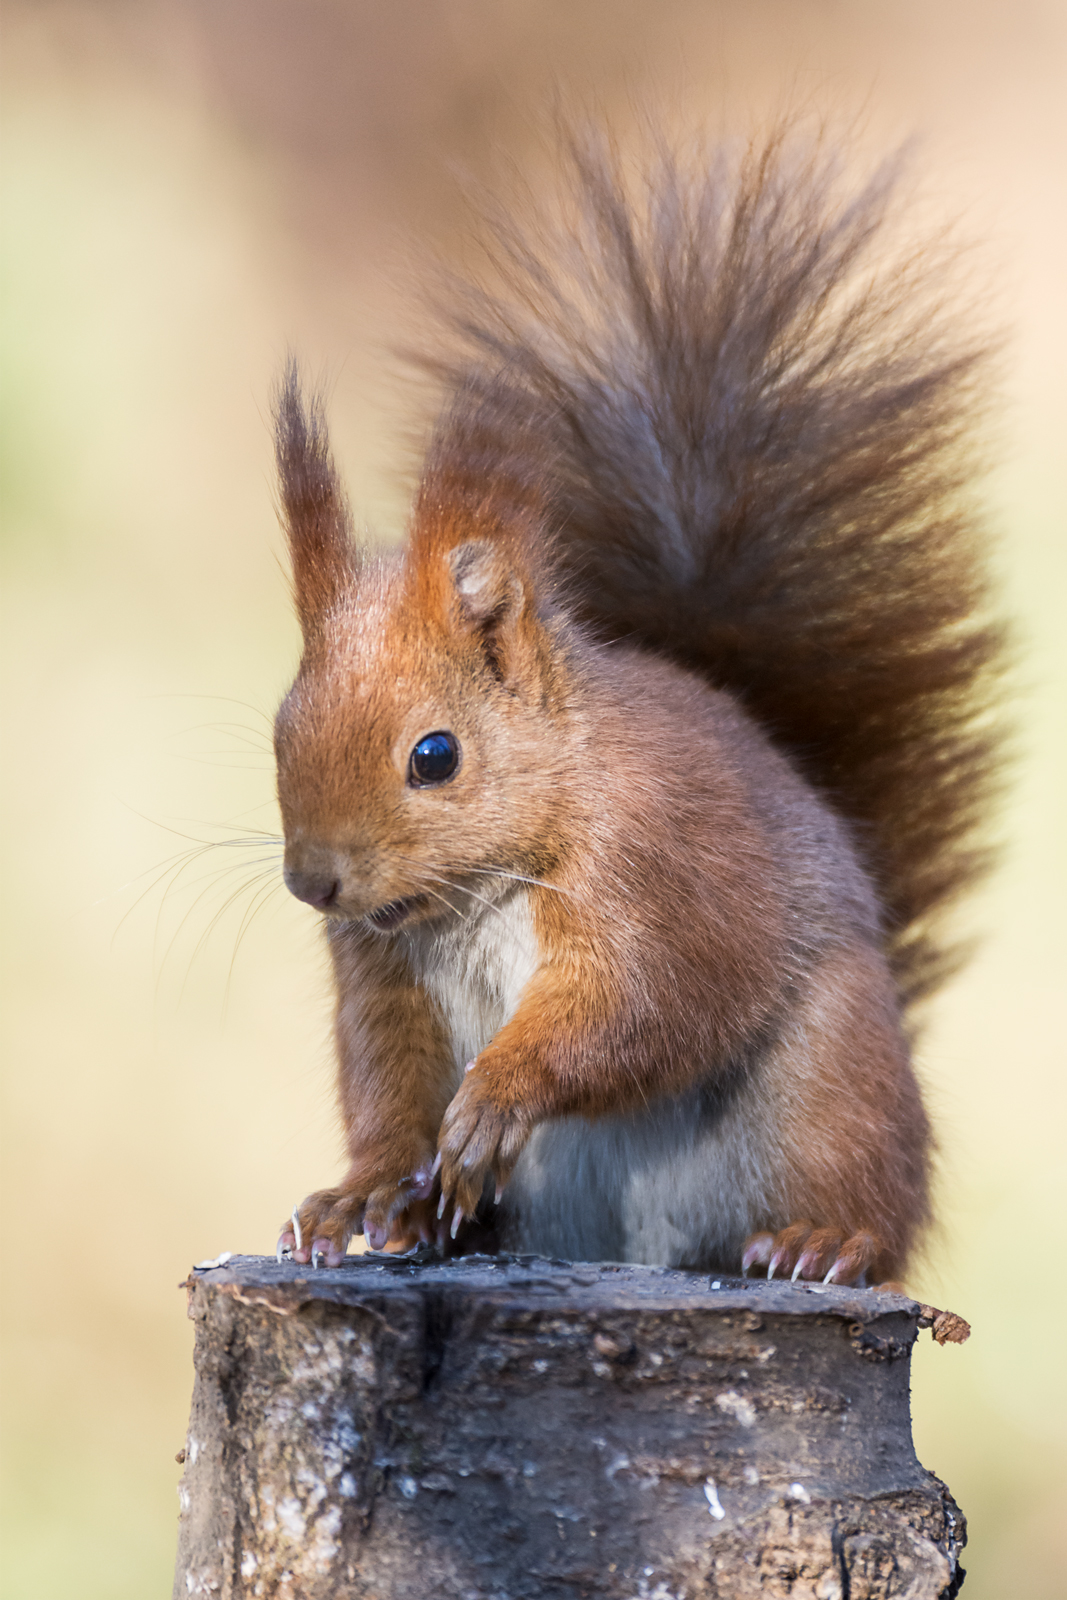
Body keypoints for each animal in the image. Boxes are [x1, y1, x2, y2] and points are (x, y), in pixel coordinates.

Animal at [272, 127, 1004, 1287]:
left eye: (434, 756)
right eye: (279, 729)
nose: (314, 882)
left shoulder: (660, 874)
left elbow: (637, 1009)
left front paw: (501, 1092)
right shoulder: (383, 973)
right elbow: (390, 1080)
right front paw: (365, 1191)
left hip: (825, 1079)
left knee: (866, 1196)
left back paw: (825, 1240)